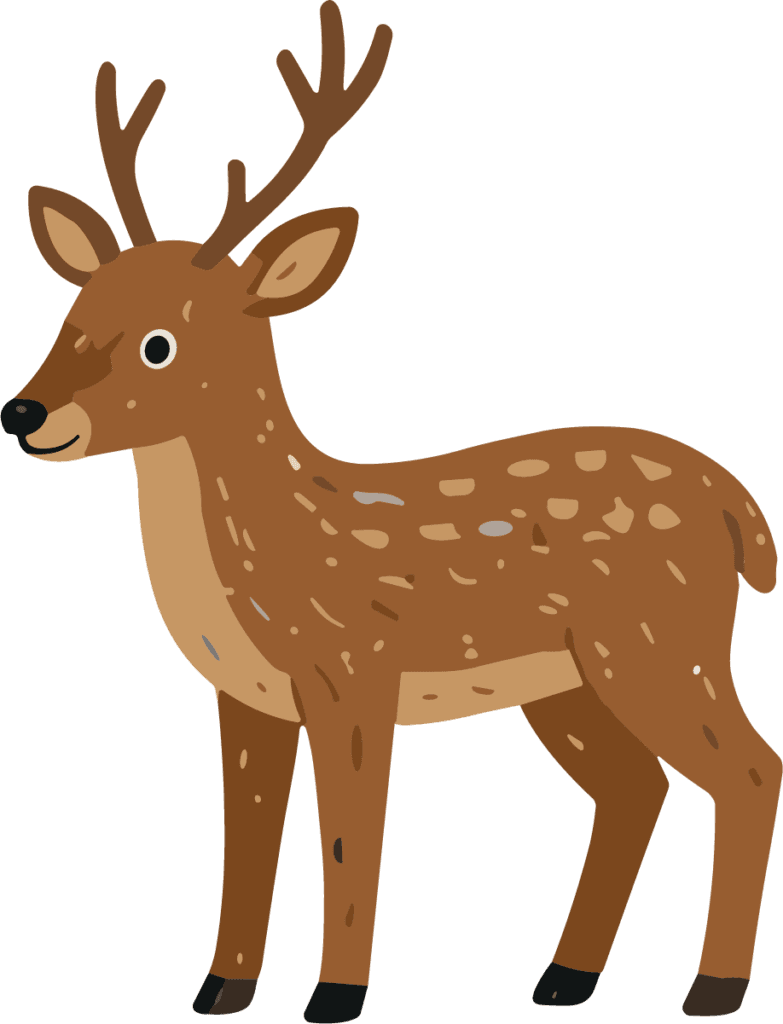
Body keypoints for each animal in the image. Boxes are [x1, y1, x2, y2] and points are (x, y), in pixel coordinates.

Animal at [2, 1, 780, 1020]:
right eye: (72, 312)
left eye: (161, 343)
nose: (23, 413)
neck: (270, 550)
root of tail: (740, 508)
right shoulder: (242, 692)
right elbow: (245, 838)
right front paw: (219, 988)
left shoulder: (353, 669)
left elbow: (345, 836)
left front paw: (334, 996)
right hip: (568, 679)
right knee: (635, 789)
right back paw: (563, 978)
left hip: (659, 637)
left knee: (750, 771)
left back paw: (712, 986)